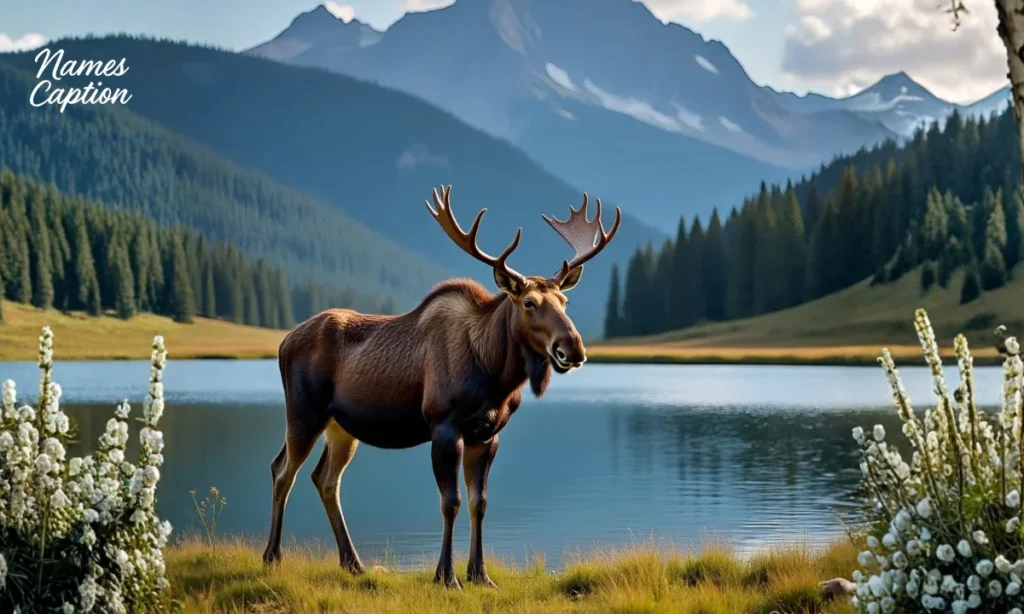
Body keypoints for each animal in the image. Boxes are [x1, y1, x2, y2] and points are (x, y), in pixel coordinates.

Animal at [261, 185, 621, 589]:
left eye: (565, 300)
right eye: (529, 302)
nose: (572, 348)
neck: (495, 375)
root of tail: (283, 343)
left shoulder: (488, 434)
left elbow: (480, 502)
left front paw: (480, 574)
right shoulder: (444, 426)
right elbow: (451, 502)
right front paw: (447, 576)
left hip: (342, 427)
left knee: (324, 479)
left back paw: (352, 562)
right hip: (303, 413)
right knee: (282, 470)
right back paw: (272, 556)